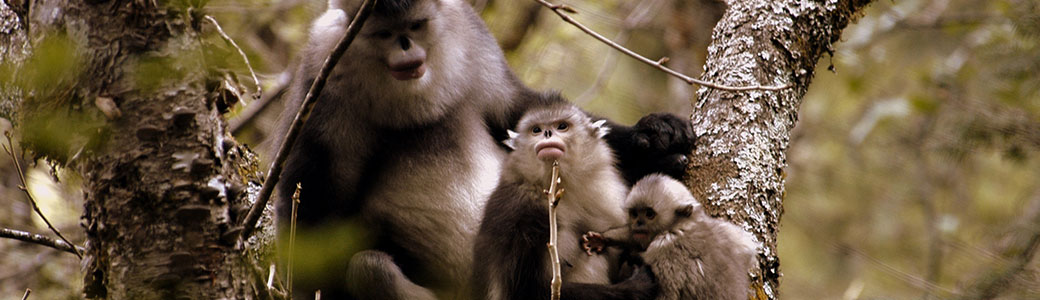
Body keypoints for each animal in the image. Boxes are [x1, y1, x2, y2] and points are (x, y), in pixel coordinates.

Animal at [586, 172, 757, 300]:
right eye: (634, 214)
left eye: (649, 214)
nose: (638, 223)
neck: (681, 226)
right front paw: (601, 239)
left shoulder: (663, 248)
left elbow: (668, 294)